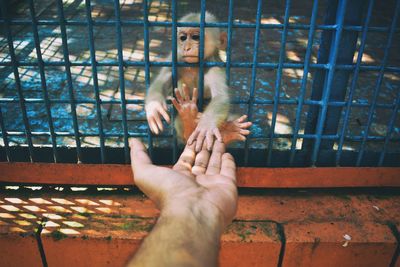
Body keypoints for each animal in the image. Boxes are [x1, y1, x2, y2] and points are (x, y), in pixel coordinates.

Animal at [144, 12, 250, 151]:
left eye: (195, 37)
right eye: (183, 38)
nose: (186, 47)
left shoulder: (214, 67)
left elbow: (221, 96)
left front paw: (206, 125)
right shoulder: (177, 58)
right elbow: (162, 79)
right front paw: (154, 105)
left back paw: (228, 131)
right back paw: (189, 122)